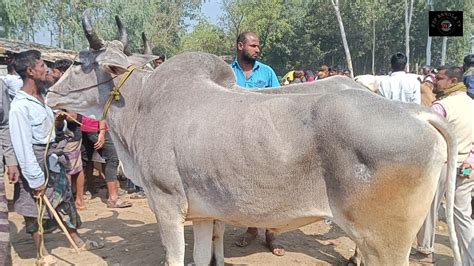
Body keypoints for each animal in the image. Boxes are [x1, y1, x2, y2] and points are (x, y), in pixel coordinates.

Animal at [46, 13, 462, 266]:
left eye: (79, 62)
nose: (49, 94)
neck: (142, 106)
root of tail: (414, 112)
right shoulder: (203, 213)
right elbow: (202, 255)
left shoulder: (166, 204)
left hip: (384, 242)